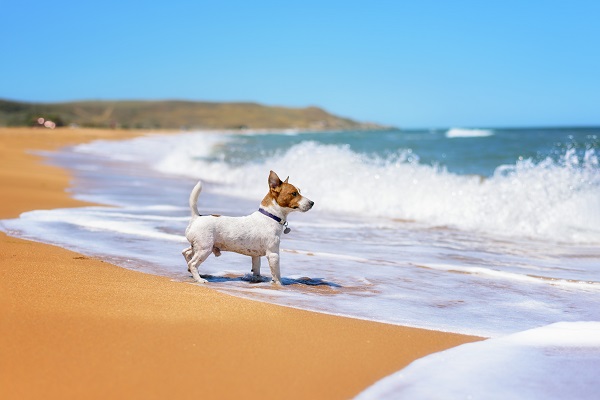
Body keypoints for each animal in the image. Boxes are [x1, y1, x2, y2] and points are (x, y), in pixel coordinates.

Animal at [182, 170, 314, 286]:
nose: (312, 203)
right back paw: (199, 279)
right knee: (193, 263)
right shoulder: (273, 255)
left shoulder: (256, 256)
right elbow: (276, 275)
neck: (270, 216)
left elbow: (256, 269)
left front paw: (258, 279)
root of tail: (197, 217)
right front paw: (278, 285)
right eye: (294, 193)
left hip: (198, 246)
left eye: (299, 191)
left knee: (186, 253)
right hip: (205, 248)